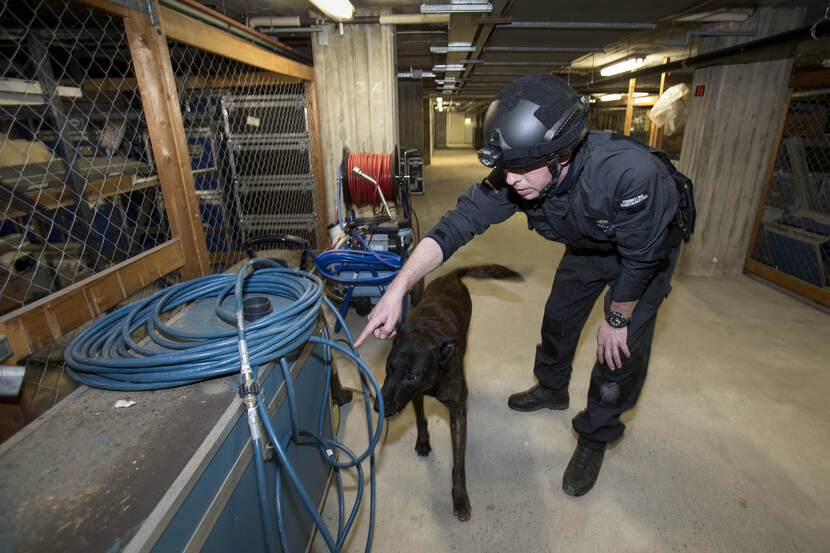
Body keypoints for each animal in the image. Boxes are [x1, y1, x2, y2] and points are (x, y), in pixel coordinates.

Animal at [380, 266, 524, 520]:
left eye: (411, 376)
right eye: (389, 367)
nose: (380, 405)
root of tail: (452, 275)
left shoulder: (457, 412)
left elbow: (458, 463)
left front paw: (460, 498)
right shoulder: (416, 395)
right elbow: (421, 419)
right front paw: (423, 442)